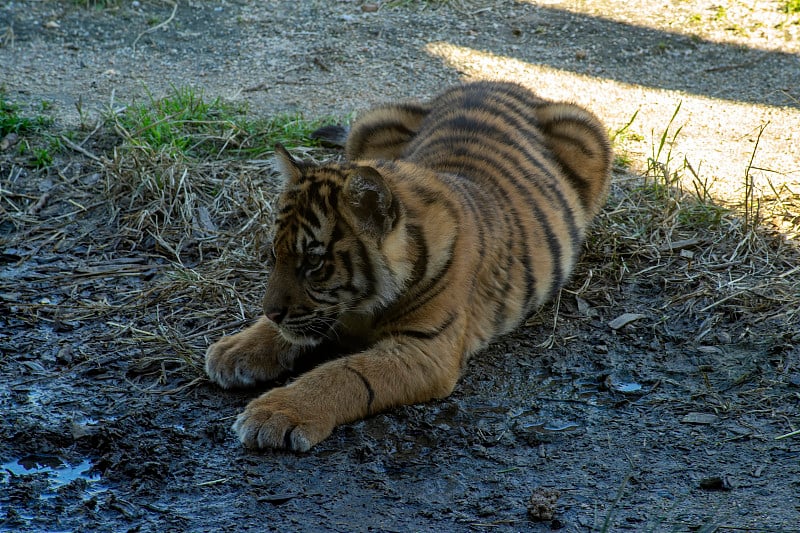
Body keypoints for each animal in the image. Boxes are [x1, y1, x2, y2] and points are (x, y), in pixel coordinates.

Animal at [206, 81, 612, 450]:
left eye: (314, 261)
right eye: (276, 254)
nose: (271, 313)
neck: (363, 306)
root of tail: (502, 82)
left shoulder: (426, 350)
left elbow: (344, 375)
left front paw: (275, 413)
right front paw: (234, 350)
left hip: (584, 128)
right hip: (372, 121)